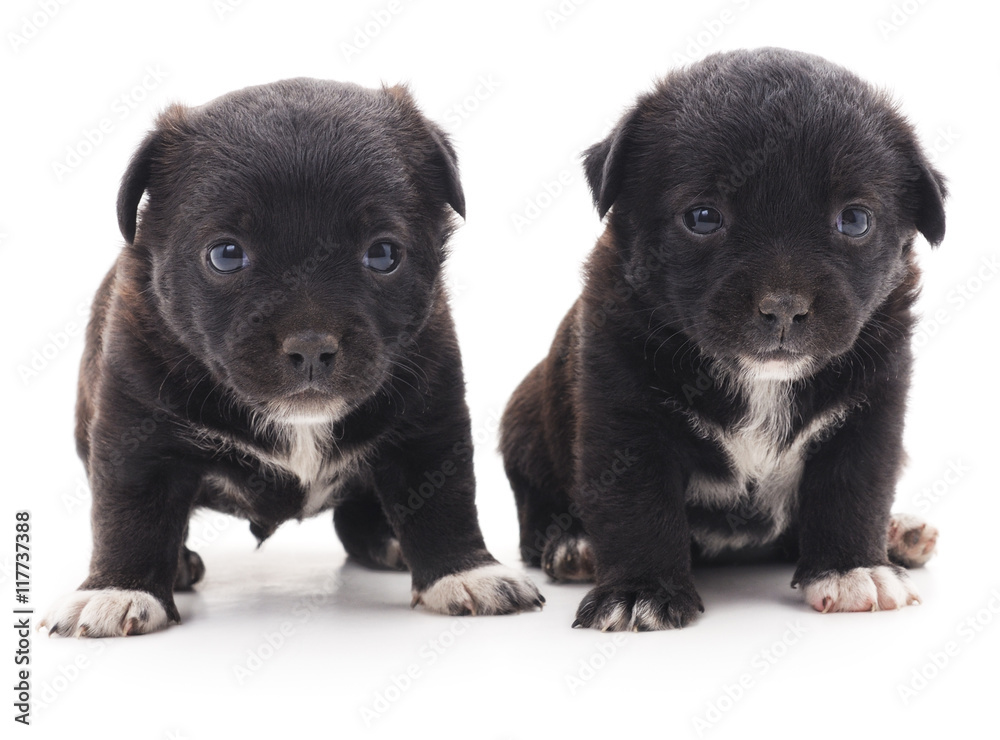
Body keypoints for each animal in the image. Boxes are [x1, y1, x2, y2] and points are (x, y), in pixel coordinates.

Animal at [41, 79, 540, 636]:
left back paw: (388, 541)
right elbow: (129, 514)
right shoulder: (136, 433)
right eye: (226, 255)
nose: (310, 347)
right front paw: (117, 589)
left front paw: (465, 573)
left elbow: (444, 501)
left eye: (383, 254)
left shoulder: (429, 423)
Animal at [504, 49, 940, 632]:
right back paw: (576, 546)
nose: (784, 304)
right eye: (703, 217)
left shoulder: (871, 411)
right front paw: (640, 590)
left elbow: (854, 492)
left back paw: (898, 533)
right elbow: (637, 507)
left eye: (854, 220)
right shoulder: (626, 420)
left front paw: (853, 569)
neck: (760, 380)